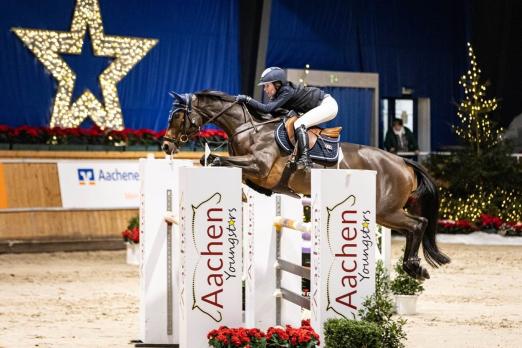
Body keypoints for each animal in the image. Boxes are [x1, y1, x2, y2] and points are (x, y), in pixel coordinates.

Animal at [161, 90, 446, 280]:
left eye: (178, 117)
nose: (165, 146)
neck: (250, 129)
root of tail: (403, 162)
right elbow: (215, 162)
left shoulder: (259, 166)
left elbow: (216, 160)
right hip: (384, 214)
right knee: (414, 227)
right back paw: (414, 266)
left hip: (386, 211)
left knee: (417, 224)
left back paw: (414, 266)